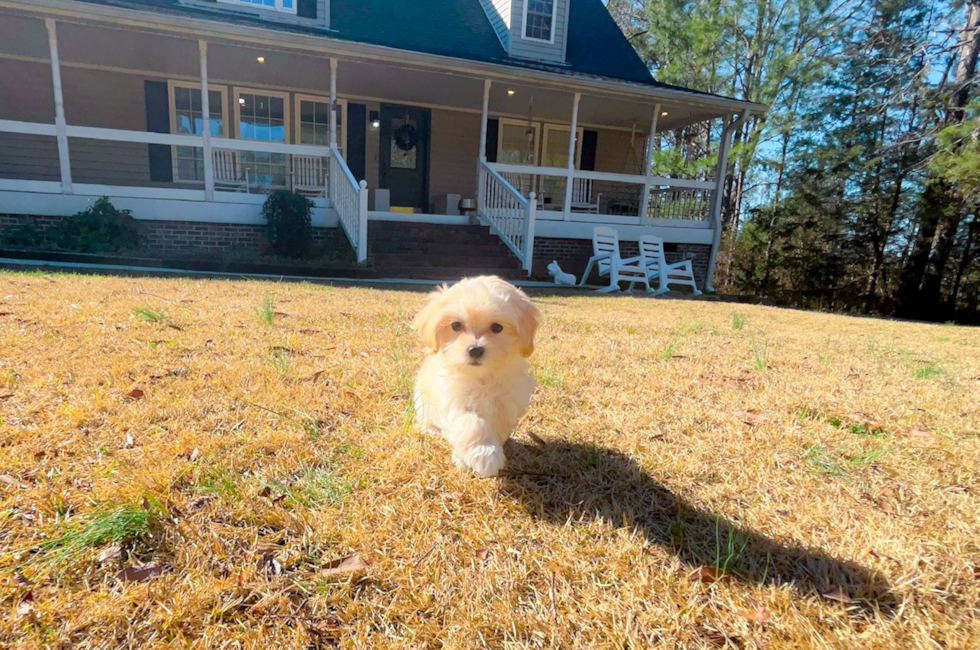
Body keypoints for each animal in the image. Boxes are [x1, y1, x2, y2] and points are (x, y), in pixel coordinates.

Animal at [410, 274, 540, 476]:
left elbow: (496, 427)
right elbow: (471, 423)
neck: (481, 377)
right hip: (422, 401)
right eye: (456, 325)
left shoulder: (507, 404)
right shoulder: (454, 399)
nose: (475, 350)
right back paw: (430, 430)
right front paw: (485, 453)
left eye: (497, 327)